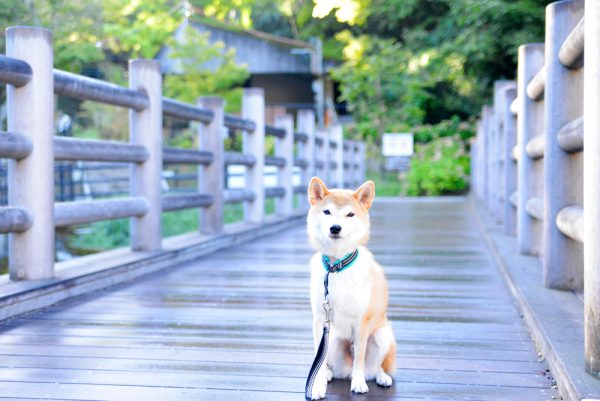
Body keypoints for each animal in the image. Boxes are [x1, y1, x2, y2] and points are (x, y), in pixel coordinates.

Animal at [308, 177, 396, 398]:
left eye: (350, 214)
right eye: (327, 212)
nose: (335, 228)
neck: (337, 267)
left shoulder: (361, 323)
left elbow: (360, 359)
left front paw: (358, 383)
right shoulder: (320, 320)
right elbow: (318, 359)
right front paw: (317, 385)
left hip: (383, 335)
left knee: (374, 367)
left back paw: (381, 377)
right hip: (332, 339)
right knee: (328, 363)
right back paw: (328, 375)